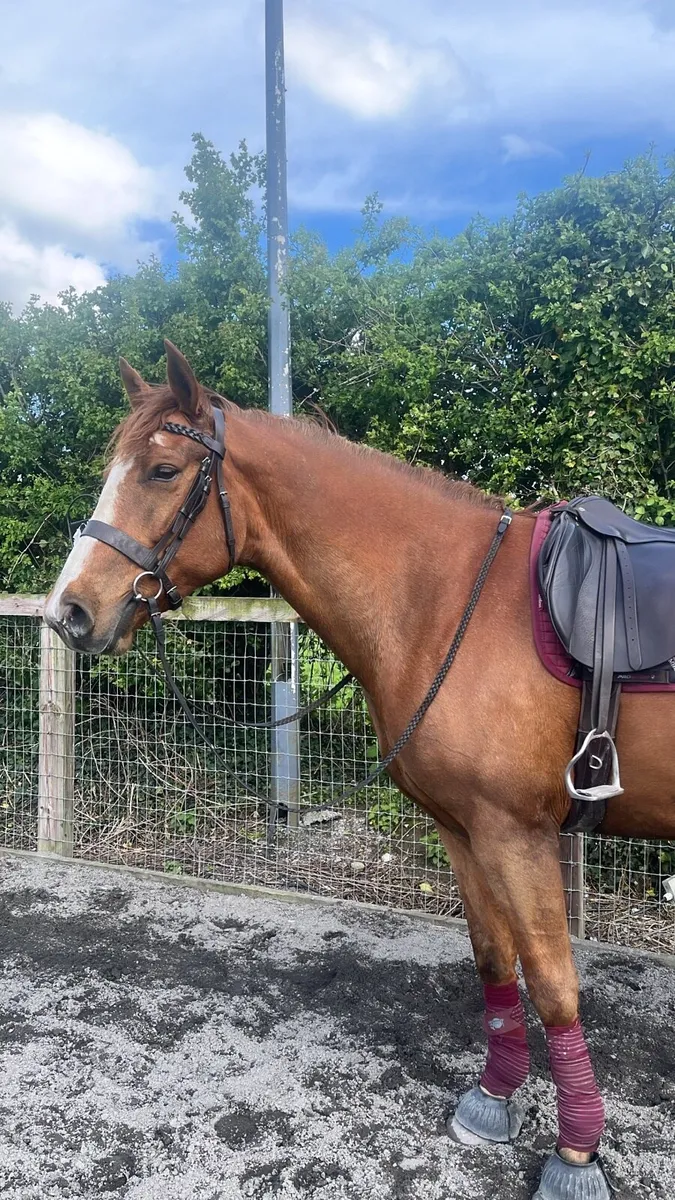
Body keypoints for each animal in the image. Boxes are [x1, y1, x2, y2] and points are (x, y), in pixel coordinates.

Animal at [45, 342, 674, 1200]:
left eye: (163, 471)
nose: (67, 612)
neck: (450, 600)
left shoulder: (517, 833)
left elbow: (552, 984)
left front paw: (575, 1155)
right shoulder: (465, 831)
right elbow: (494, 960)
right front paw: (492, 1100)